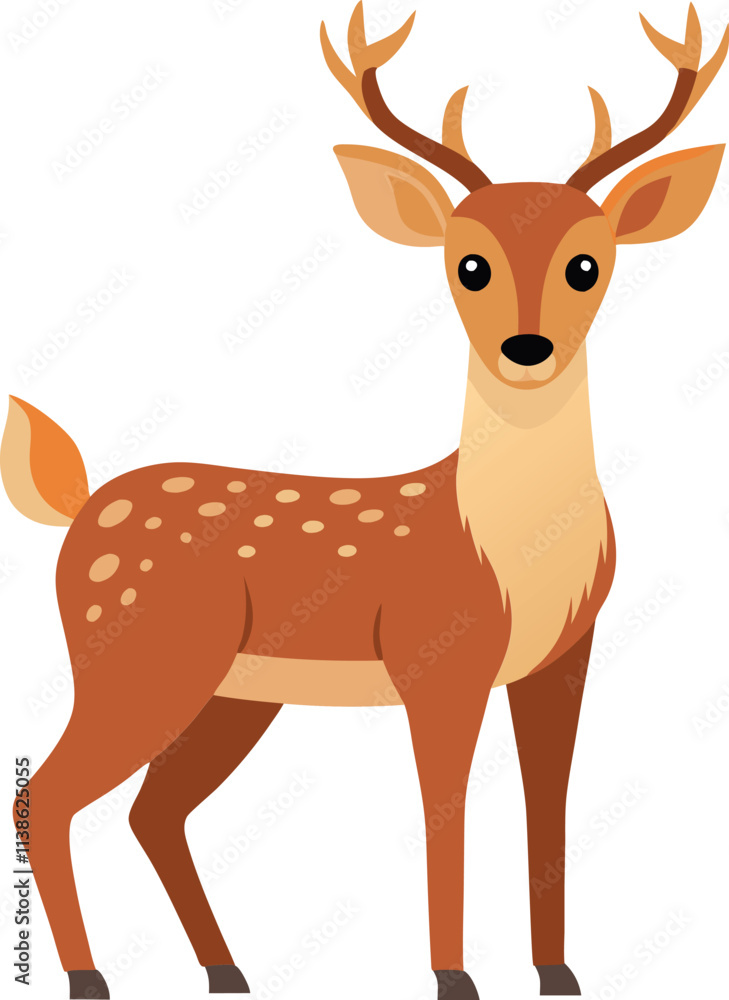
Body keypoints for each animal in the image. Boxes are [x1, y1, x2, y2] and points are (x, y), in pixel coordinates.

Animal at [2, 4, 726, 998]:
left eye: (587, 265)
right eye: (468, 265)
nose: (527, 347)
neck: (512, 550)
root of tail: (76, 509)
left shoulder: (564, 656)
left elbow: (548, 808)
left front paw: (558, 973)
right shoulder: (434, 657)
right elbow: (444, 811)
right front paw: (454, 979)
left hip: (232, 691)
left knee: (153, 811)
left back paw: (228, 971)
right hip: (137, 656)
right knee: (48, 791)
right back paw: (90, 978)